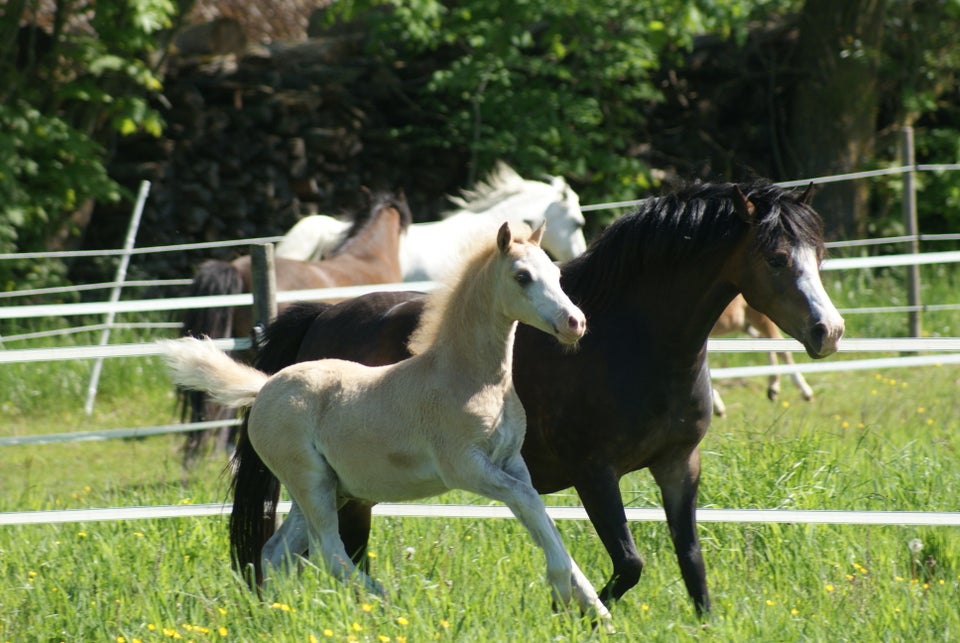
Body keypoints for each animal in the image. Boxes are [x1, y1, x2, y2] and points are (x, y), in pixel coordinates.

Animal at [161, 223, 612, 628]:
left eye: (556, 274)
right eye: (522, 276)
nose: (574, 322)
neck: (468, 378)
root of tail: (265, 386)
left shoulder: (510, 463)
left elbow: (538, 513)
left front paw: (594, 606)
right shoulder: (467, 468)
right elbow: (530, 504)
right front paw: (569, 592)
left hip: (327, 488)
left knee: (275, 553)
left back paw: (275, 617)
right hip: (311, 483)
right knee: (329, 551)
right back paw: (388, 604)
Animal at [229, 181, 844, 620]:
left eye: (819, 252)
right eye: (776, 258)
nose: (829, 331)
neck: (631, 341)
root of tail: (319, 317)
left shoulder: (678, 465)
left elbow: (690, 560)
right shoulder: (595, 473)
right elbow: (629, 562)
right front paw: (569, 608)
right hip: (350, 490)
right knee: (337, 552)